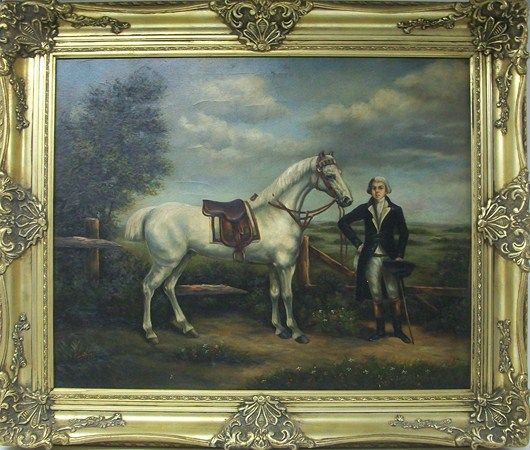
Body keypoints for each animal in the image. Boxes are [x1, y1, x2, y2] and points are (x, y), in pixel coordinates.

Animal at [125, 152, 352, 345]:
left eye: (340, 173)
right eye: (330, 175)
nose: (347, 200)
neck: (277, 214)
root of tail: (152, 211)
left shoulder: (272, 265)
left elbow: (274, 293)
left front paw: (279, 328)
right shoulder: (286, 265)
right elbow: (288, 295)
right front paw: (296, 332)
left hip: (183, 258)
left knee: (169, 287)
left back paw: (187, 327)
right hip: (165, 262)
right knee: (148, 287)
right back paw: (150, 333)